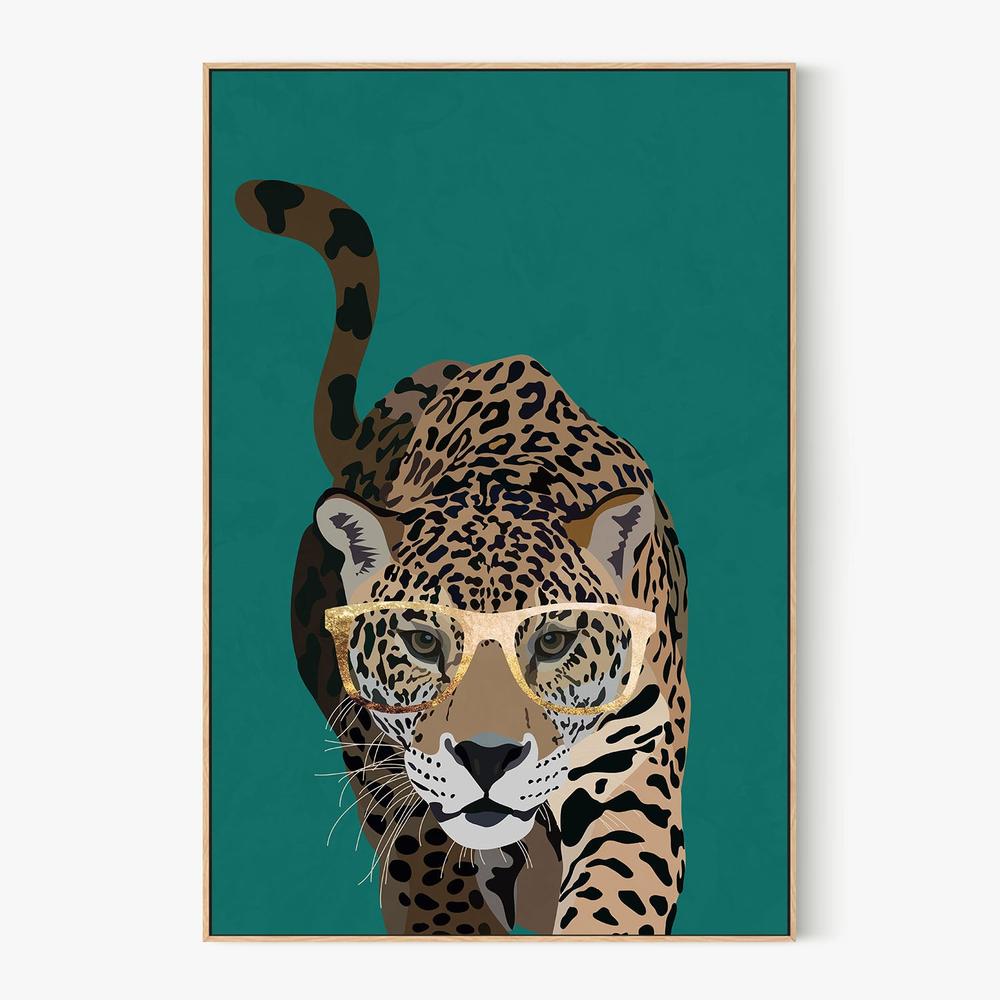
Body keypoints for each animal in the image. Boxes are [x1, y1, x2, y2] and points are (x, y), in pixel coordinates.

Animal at [235, 178, 690, 935]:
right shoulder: (392, 770)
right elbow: (431, 878)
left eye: (554, 642)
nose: (487, 756)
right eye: (422, 641)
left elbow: (617, 896)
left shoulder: (634, 768)